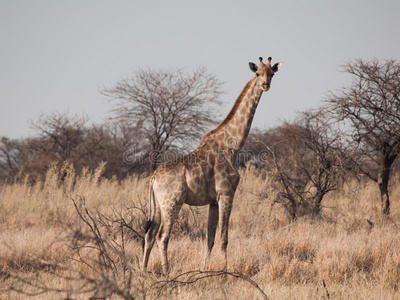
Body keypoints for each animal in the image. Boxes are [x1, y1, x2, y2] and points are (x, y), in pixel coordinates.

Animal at [142, 56, 282, 274]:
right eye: (258, 73)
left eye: (272, 73)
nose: (265, 85)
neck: (232, 145)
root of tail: (153, 178)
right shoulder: (226, 194)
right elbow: (224, 238)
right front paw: (225, 273)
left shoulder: (213, 201)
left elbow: (210, 239)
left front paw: (205, 270)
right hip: (172, 202)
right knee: (162, 237)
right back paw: (167, 272)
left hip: (157, 205)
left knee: (149, 235)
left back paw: (143, 271)